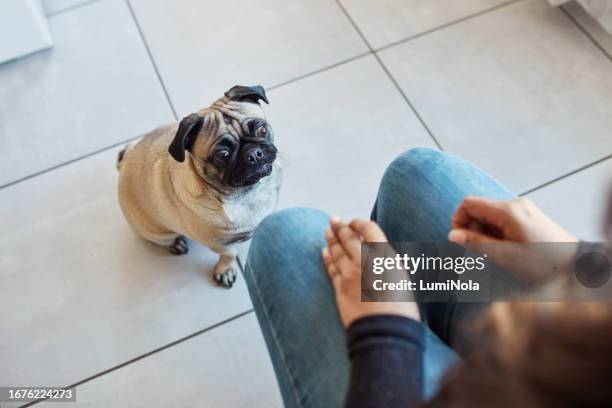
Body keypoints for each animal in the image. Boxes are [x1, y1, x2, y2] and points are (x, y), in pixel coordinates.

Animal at [116, 85, 280, 286]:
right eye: (223, 155)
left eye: (262, 130)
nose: (254, 154)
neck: (247, 193)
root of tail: (124, 161)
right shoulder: (218, 244)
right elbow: (229, 255)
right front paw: (225, 270)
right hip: (155, 231)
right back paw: (176, 244)